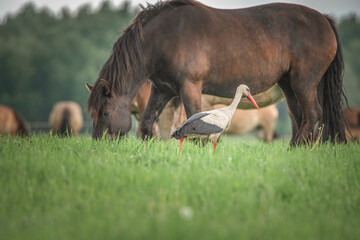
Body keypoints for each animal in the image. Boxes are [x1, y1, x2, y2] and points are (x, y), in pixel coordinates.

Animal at [86, 0, 348, 146]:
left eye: (106, 112)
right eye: (92, 113)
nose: (98, 145)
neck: (165, 37)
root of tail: (324, 20)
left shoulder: (190, 87)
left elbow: (195, 118)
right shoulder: (162, 90)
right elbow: (148, 122)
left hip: (304, 82)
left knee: (313, 113)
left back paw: (295, 147)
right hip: (288, 85)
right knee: (301, 116)